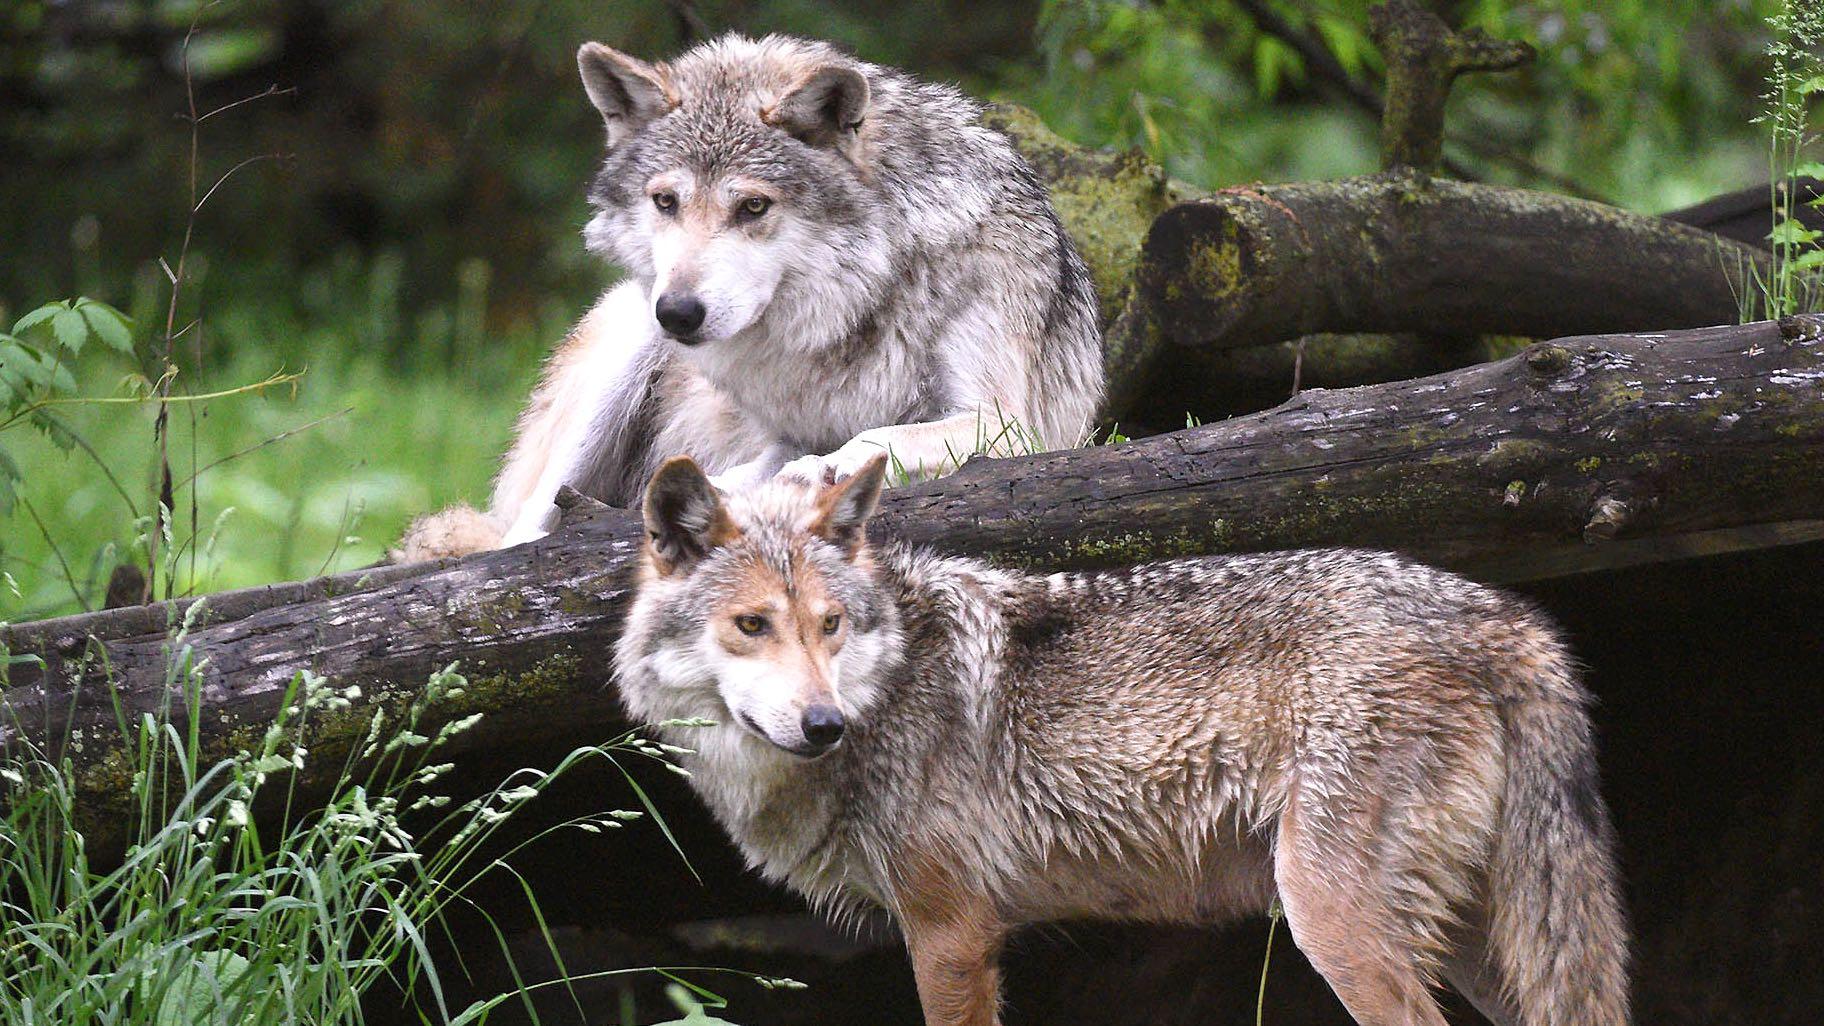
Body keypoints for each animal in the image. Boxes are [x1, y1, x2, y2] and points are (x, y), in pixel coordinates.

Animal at [395, 36, 1094, 558]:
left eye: (753, 206)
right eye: (665, 201)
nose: (679, 312)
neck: (863, 298)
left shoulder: (1014, 426)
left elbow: (878, 437)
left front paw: (820, 472)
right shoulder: (785, 428)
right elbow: (771, 463)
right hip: (624, 351)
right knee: (517, 533)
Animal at [616, 452, 1641, 1022]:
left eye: (829, 625)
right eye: (753, 625)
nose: (824, 724)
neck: (892, 685)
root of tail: (1503, 616)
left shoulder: (950, 934)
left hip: (1333, 920)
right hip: (1477, 946)